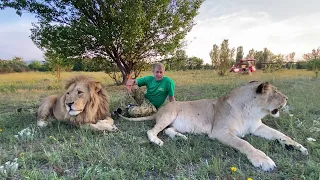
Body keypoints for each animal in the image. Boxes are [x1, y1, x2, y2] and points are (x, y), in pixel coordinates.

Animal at [120, 81, 308, 172]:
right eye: (275, 93)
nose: (287, 99)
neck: (251, 111)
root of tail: (160, 109)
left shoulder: (257, 128)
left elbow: (281, 134)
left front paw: (298, 146)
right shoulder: (220, 132)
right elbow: (244, 143)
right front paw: (263, 160)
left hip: (173, 122)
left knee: (168, 130)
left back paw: (181, 137)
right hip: (169, 114)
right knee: (152, 130)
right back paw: (157, 141)